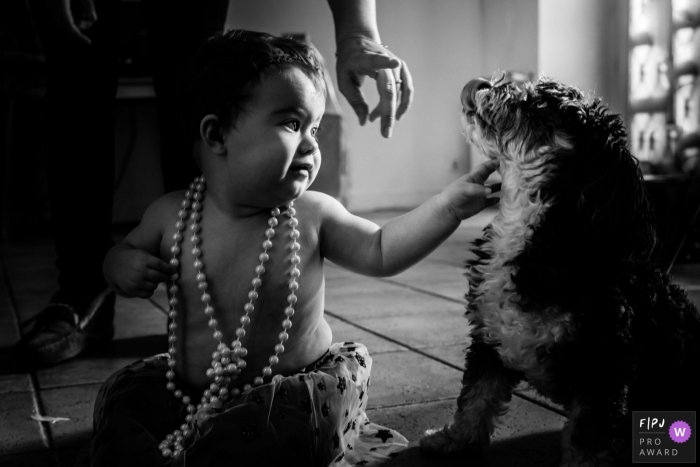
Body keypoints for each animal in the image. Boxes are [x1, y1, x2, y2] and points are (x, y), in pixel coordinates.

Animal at [418, 75, 700, 466]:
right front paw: (455, 441)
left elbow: (586, 439)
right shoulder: (489, 338)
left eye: (544, 106)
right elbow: (476, 397)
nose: (481, 82)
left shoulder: (605, 367)